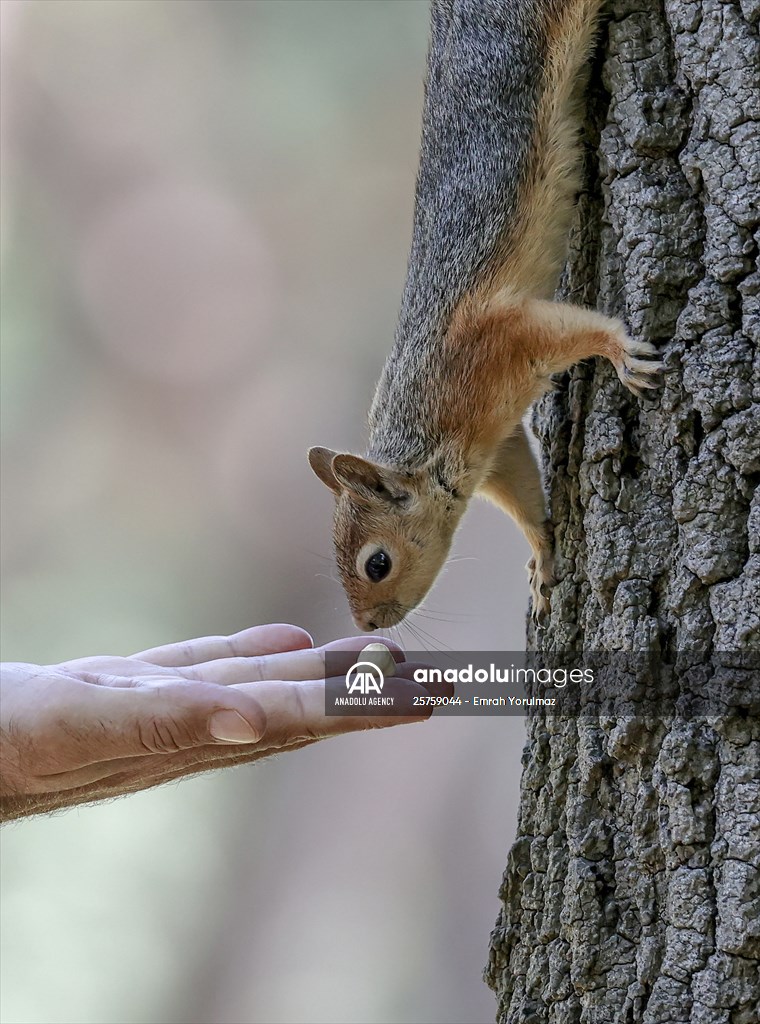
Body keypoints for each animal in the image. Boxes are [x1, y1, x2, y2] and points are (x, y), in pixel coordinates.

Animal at [308, 0, 662, 632]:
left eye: (377, 563)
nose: (366, 626)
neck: (426, 426)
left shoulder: (498, 337)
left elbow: (578, 330)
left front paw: (622, 353)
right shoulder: (498, 444)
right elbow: (523, 490)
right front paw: (543, 555)